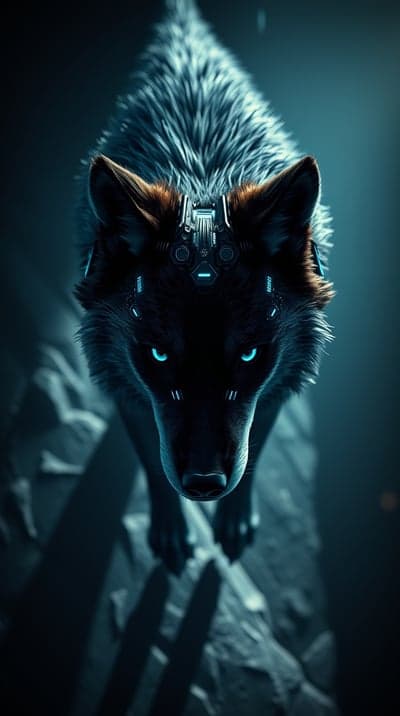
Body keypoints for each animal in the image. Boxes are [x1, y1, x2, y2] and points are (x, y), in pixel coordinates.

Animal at [75, 0, 334, 574]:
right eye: (158, 355)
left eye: (249, 355)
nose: (204, 484)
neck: (202, 173)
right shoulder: (127, 383)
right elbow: (154, 463)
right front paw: (171, 532)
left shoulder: (276, 380)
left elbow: (253, 447)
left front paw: (233, 521)